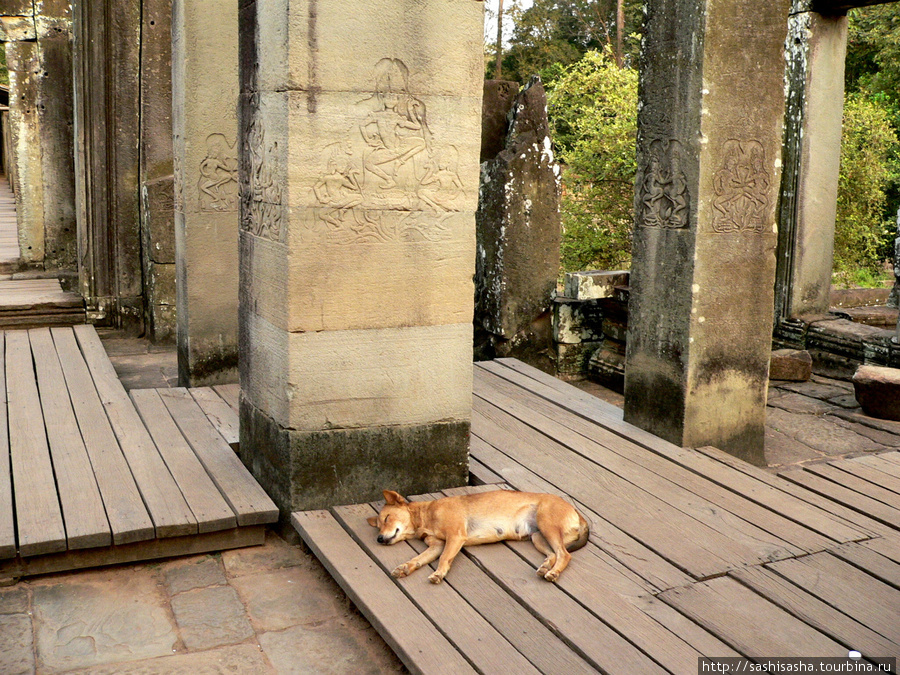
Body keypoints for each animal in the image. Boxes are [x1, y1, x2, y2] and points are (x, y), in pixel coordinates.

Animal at [366, 488, 592, 584]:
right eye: (378, 526)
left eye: (386, 518)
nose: (379, 539)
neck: (425, 516)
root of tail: (578, 513)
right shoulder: (436, 545)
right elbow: (418, 559)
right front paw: (405, 568)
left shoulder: (455, 537)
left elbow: (444, 558)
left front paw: (439, 574)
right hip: (538, 536)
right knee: (553, 554)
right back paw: (546, 567)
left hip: (547, 525)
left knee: (564, 555)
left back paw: (553, 573)